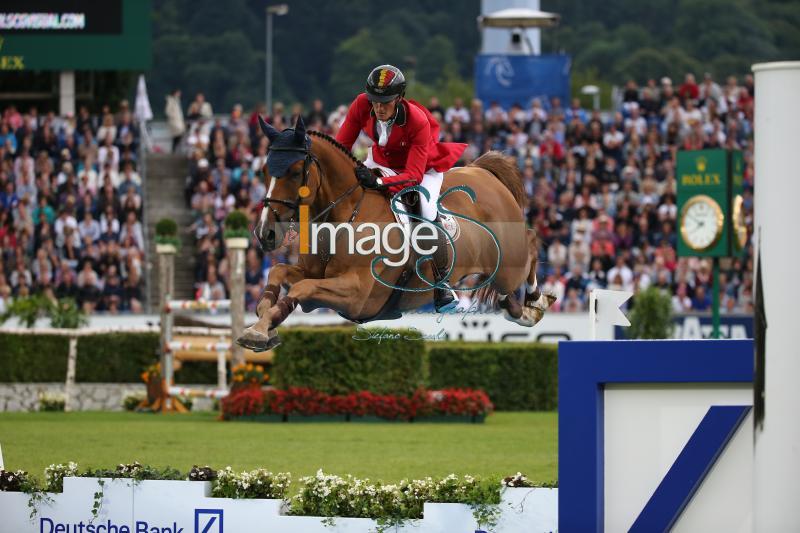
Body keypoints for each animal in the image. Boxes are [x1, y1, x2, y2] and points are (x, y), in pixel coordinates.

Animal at [234, 116, 552, 352]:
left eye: (294, 171)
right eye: (263, 170)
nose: (265, 234)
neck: (344, 216)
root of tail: (484, 173)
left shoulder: (358, 295)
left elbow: (301, 288)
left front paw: (259, 329)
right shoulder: (314, 278)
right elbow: (279, 273)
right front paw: (262, 323)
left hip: (508, 261)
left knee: (530, 246)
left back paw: (535, 303)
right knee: (509, 292)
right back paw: (520, 307)